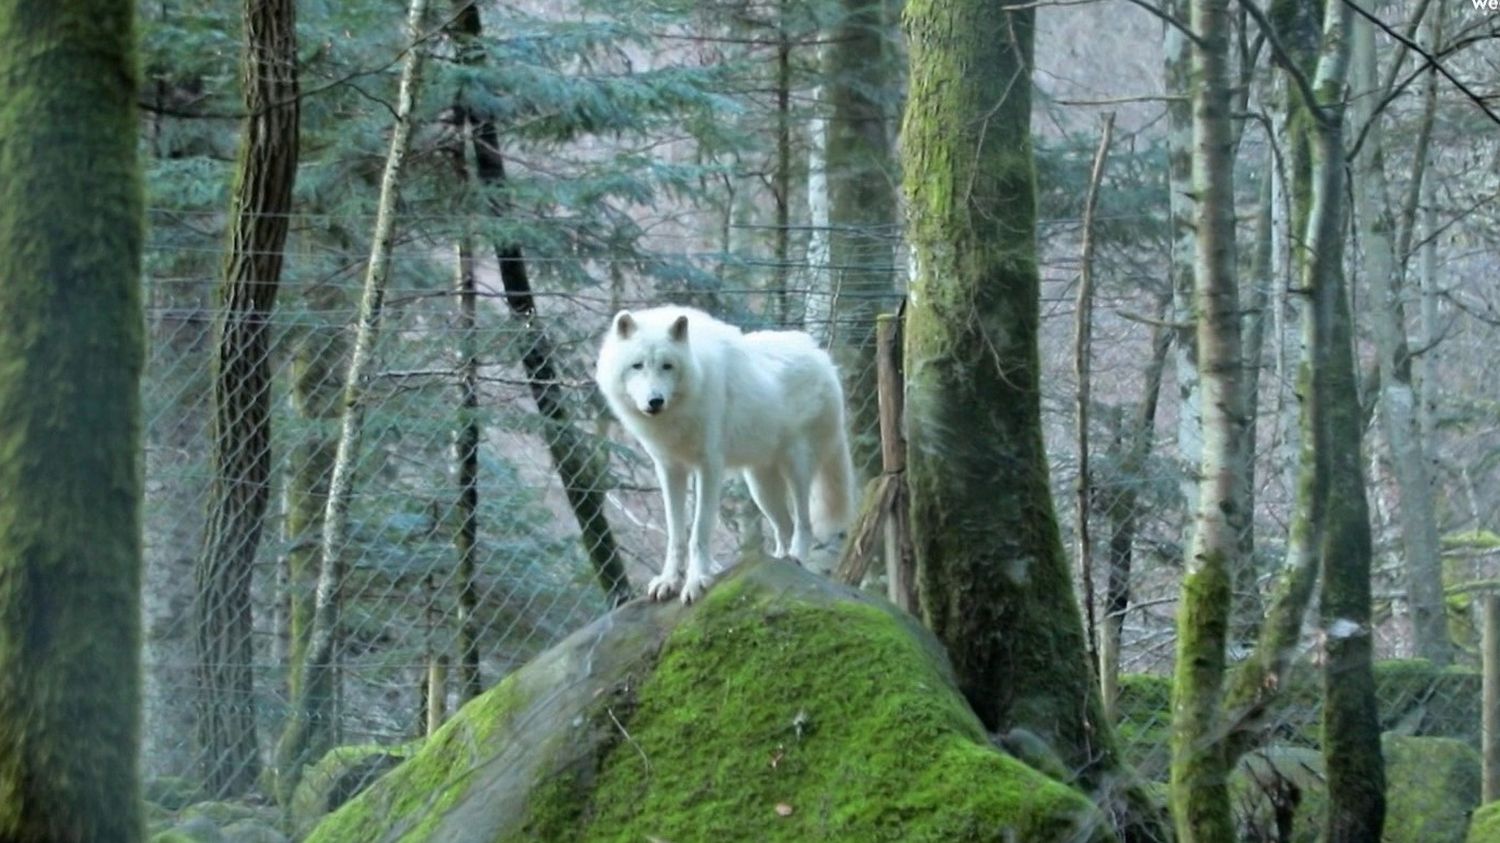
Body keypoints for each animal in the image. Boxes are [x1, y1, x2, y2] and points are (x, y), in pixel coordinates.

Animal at [597, 304, 858, 600]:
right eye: (637, 365)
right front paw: (669, 581)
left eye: (667, 366)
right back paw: (782, 561)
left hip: (797, 470)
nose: (655, 401)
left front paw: (696, 581)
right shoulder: (669, 469)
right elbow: (676, 535)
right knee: (785, 527)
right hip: (760, 487)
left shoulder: (709, 467)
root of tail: (823, 358)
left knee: (804, 525)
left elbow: (699, 532)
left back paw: (797, 558)